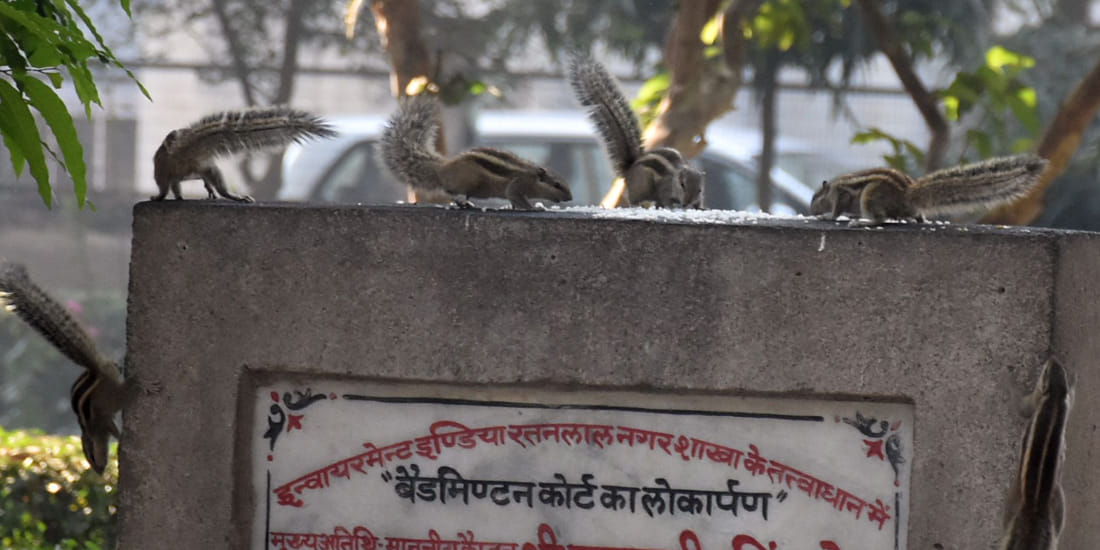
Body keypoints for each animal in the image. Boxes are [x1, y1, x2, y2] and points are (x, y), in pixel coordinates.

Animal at [0, 262, 152, 474]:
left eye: (91, 456)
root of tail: (95, 370)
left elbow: (113, 429)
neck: (91, 433)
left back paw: (140, 384)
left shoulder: (102, 421)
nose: (99, 472)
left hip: (111, 395)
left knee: (126, 391)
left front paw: (120, 440)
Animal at [379, 94, 572, 210]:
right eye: (557, 185)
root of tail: (442, 169)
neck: (533, 178)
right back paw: (459, 201)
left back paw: (468, 204)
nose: (570, 198)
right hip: (468, 181)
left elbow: (513, 201)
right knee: (448, 190)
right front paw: (531, 207)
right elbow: (514, 196)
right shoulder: (518, 184)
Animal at [568, 54, 704, 209]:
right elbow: (665, 198)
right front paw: (670, 205)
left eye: (700, 190)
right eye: (682, 184)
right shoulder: (664, 187)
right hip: (642, 185)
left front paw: (700, 207)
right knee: (635, 198)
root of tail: (630, 168)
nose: (687, 203)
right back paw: (638, 204)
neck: (674, 177)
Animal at [811, 155, 1047, 226]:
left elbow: (837, 208)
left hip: (870, 195)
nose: (811, 210)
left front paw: (826, 216)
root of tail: (908, 195)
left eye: (814, 197)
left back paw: (863, 222)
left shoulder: (840, 194)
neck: (831, 189)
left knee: (879, 219)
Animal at [999, 358, 1073, 550]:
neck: (1055, 396)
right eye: (1058, 369)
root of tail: (1035, 508)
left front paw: (1006, 379)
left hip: (1016, 497)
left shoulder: (1036, 401)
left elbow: (1022, 407)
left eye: (1045, 371)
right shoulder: (1066, 401)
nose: (1052, 358)